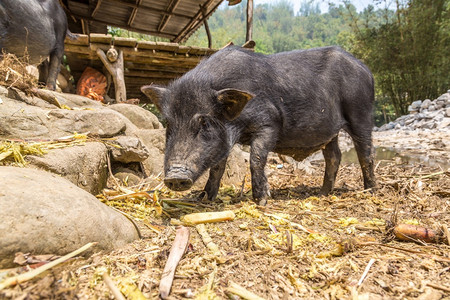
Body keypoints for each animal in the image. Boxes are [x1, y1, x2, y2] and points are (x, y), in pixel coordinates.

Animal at [143, 45, 376, 205]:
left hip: (361, 112)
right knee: (334, 156)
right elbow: (217, 167)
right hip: (330, 131)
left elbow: (256, 158)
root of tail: (366, 69)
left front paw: (262, 200)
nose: (175, 176)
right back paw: (322, 193)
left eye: (205, 122)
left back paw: (370, 191)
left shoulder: (269, 122)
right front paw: (204, 198)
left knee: (365, 153)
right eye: (169, 123)